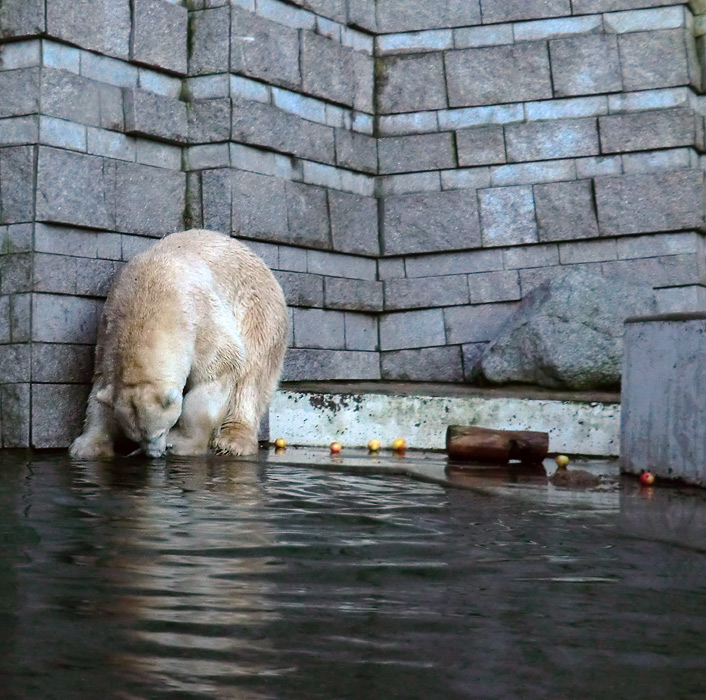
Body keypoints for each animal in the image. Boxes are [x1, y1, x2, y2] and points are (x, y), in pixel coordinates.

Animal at [69, 230, 288, 460]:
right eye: (135, 436)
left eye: (159, 432)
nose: (154, 454)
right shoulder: (108, 331)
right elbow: (100, 389)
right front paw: (86, 446)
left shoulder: (200, 319)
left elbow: (219, 368)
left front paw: (181, 443)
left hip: (259, 313)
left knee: (252, 375)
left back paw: (233, 441)